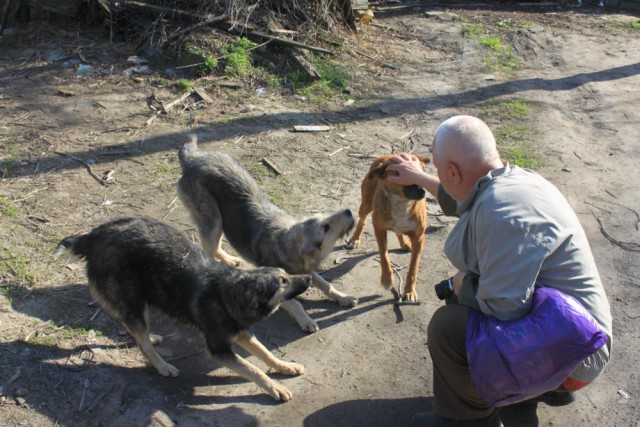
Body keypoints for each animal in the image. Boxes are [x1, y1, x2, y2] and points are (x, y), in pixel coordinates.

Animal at [56, 219, 312, 402]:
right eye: (282, 283)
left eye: (286, 275)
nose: (309, 278)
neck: (227, 293)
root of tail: (92, 236)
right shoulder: (219, 349)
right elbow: (253, 369)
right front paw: (275, 387)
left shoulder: (240, 332)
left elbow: (265, 353)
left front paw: (285, 367)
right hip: (135, 300)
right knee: (138, 335)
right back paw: (162, 366)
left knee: (132, 328)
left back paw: (150, 338)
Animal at [178, 137, 358, 334]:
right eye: (326, 227)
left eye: (326, 217)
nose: (349, 211)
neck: (284, 243)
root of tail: (192, 159)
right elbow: (295, 304)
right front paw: (306, 320)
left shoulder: (305, 270)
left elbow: (326, 284)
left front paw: (343, 297)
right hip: (213, 222)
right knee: (209, 251)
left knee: (217, 248)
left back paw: (231, 260)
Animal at [344, 155, 430, 302]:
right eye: (402, 173)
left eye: (421, 172)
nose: (423, 191)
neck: (401, 202)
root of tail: (385, 155)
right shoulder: (379, 229)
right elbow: (384, 257)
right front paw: (387, 280)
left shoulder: (419, 238)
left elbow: (413, 268)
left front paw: (409, 291)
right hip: (366, 205)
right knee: (362, 220)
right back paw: (355, 239)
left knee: (398, 231)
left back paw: (404, 243)